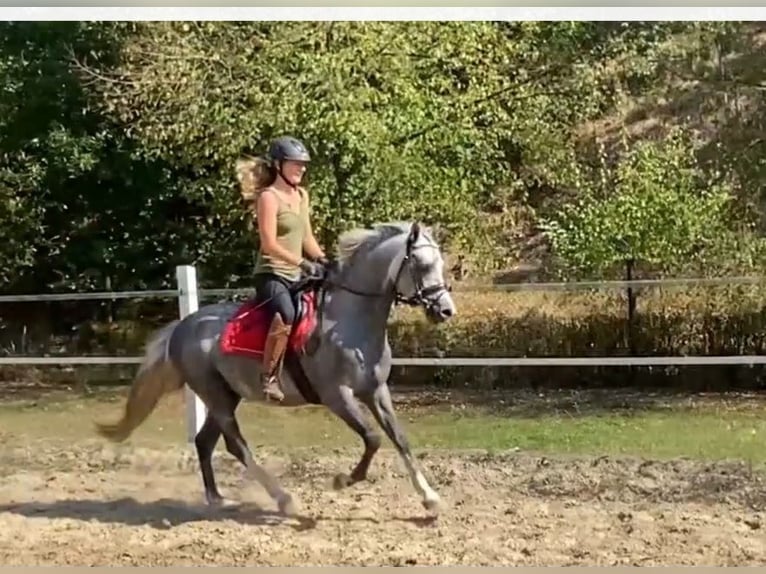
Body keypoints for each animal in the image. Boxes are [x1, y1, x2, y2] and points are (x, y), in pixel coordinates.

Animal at [94, 220, 456, 516]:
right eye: (422, 265)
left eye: (440, 263)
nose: (446, 310)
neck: (348, 321)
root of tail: (182, 327)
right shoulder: (337, 396)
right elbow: (373, 438)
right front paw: (343, 480)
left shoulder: (375, 391)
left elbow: (399, 439)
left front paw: (430, 499)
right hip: (216, 397)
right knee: (235, 445)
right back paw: (283, 499)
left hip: (227, 395)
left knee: (204, 442)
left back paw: (217, 498)